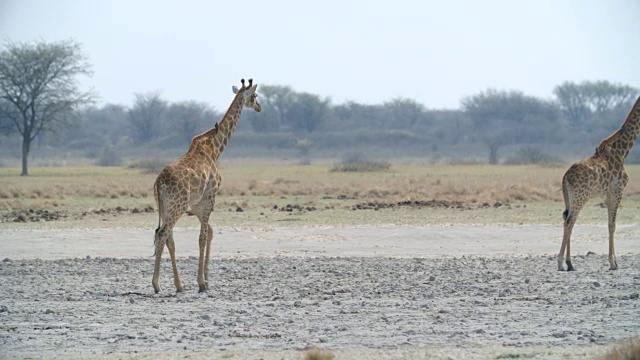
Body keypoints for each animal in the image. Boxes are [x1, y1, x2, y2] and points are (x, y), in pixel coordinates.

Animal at [152, 79, 260, 292]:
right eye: (254, 96)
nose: (259, 108)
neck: (214, 149)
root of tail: (159, 182)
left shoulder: (196, 203)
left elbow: (209, 232)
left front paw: (206, 278)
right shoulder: (210, 197)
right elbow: (202, 236)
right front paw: (201, 282)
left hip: (166, 206)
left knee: (168, 237)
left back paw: (179, 285)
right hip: (177, 206)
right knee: (162, 234)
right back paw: (157, 284)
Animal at [556, 97, 640, 272]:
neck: (622, 152)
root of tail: (566, 176)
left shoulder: (608, 194)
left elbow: (610, 224)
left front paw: (615, 262)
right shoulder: (618, 190)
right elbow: (612, 224)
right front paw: (613, 263)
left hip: (570, 197)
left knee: (566, 218)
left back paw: (569, 264)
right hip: (581, 197)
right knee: (570, 221)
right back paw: (562, 263)